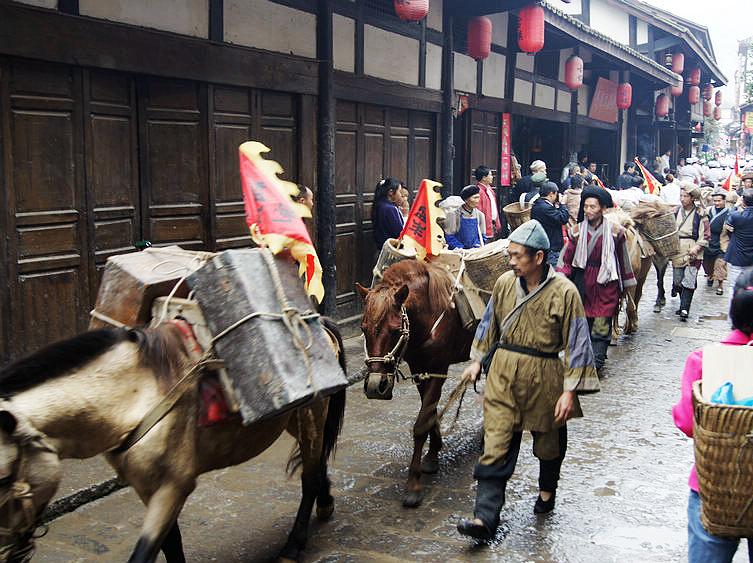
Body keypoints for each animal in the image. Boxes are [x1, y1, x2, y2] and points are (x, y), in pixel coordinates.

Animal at [0, 322, 346, 563]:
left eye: (4, 478)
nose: (6, 552)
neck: (135, 397)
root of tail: (321, 323)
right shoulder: (145, 485)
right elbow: (171, 542)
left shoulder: (174, 485)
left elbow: (146, 550)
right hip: (293, 421)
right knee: (316, 464)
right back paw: (325, 502)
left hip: (311, 416)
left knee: (308, 477)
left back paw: (293, 546)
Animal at [356, 262, 472, 508]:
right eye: (363, 328)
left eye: (395, 330)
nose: (375, 386)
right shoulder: (420, 369)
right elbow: (429, 414)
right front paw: (432, 456)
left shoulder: (439, 369)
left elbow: (421, 424)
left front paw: (413, 486)